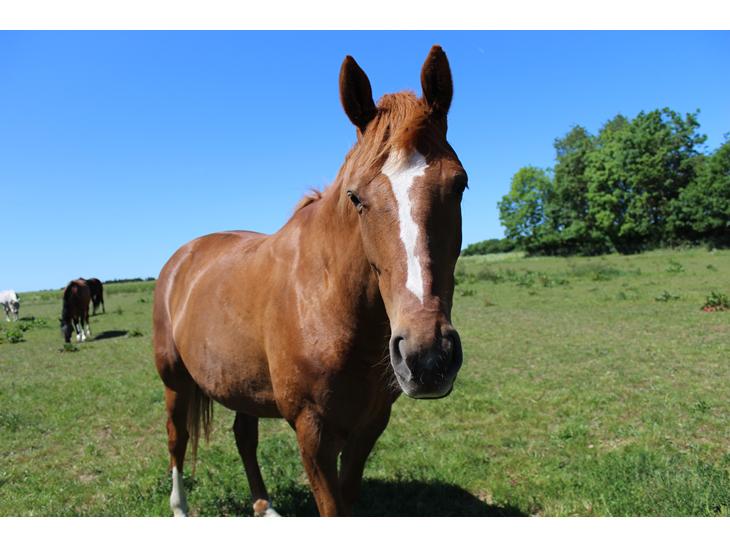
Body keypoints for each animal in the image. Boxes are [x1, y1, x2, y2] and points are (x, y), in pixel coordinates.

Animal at [153, 45, 467, 517]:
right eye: (356, 197)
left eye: (459, 184)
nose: (427, 356)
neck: (327, 299)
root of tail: (181, 257)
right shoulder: (312, 431)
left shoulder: (369, 427)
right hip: (174, 381)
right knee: (177, 438)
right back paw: (181, 509)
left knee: (244, 437)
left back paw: (265, 507)